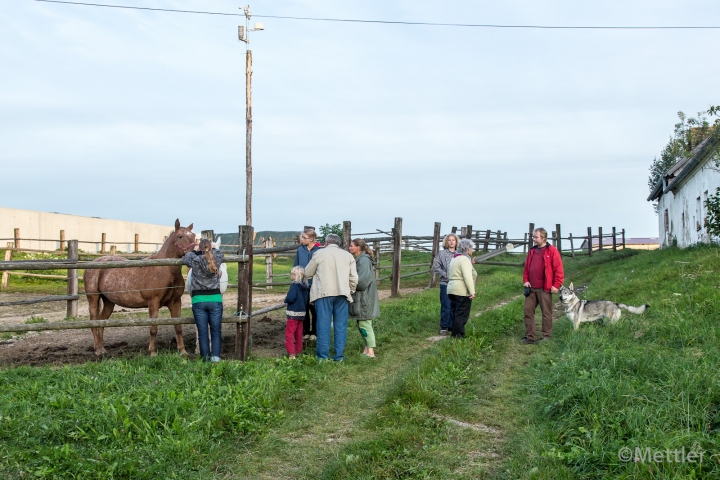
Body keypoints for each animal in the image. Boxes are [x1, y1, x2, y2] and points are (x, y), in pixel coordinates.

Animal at [84, 219, 197, 354]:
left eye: (194, 236)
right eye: (180, 236)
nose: (196, 253)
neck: (164, 269)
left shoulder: (175, 302)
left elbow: (178, 327)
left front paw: (182, 351)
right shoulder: (153, 303)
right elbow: (153, 328)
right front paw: (152, 352)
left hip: (108, 302)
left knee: (101, 321)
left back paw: (102, 349)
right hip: (93, 299)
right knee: (93, 322)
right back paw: (97, 350)